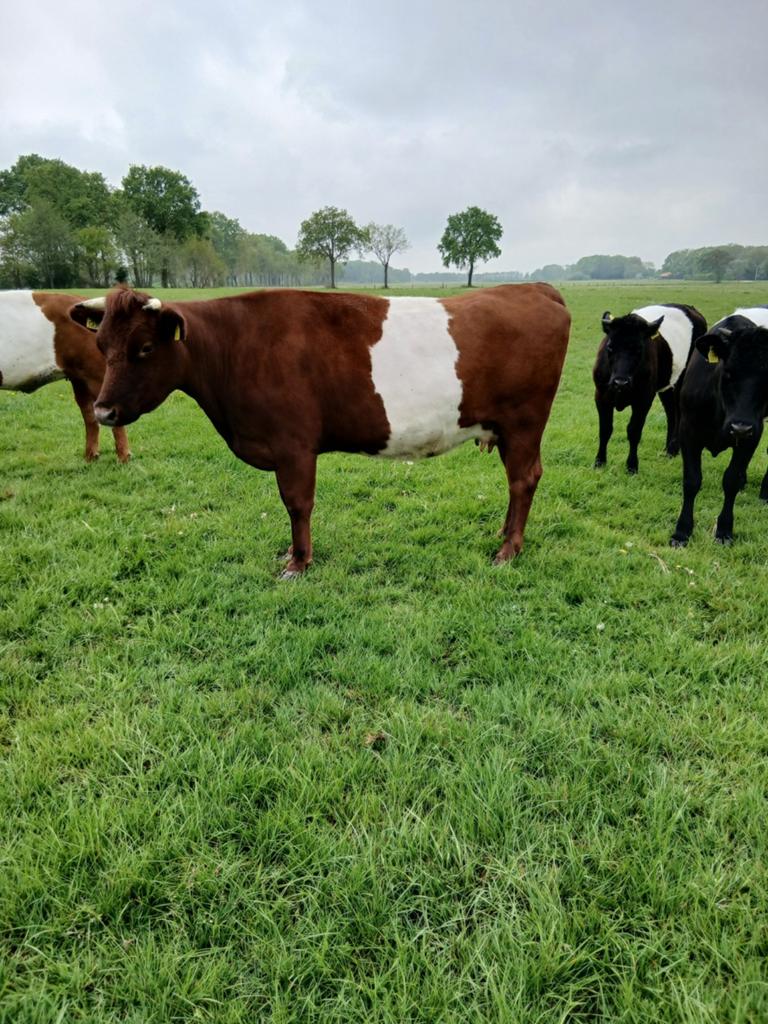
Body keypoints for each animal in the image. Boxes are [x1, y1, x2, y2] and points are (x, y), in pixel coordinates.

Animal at [70, 284, 571, 577]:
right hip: (507, 428)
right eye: (102, 345)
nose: (104, 410)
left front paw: (298, 562)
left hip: (524, 422)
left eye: (145, 347)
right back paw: (504, 535)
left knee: (523, 479)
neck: (235, 347)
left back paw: (508, 551)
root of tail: (535, 289)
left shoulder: (293, 445)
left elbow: (297, 504)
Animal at [593, 303, 707, 473]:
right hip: (667, 386)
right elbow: (605, 429)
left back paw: (673, 448)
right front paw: (599, 462)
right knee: (671, 413)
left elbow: (634, 431)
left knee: (678, 413)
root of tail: (691, 309)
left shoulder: (644, 398)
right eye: (610, 347)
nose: (620, 382)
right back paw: (668, 451)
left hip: (682, 381)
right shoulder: (601, 395)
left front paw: (632, 466)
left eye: (639, 349)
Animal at [671, 306, 768, 548]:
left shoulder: (753, 435)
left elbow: (730, 480)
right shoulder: (688, 433)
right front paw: (682, 531)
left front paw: (724, 530)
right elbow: (692, 481)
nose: (740, 427)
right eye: (728, 372)